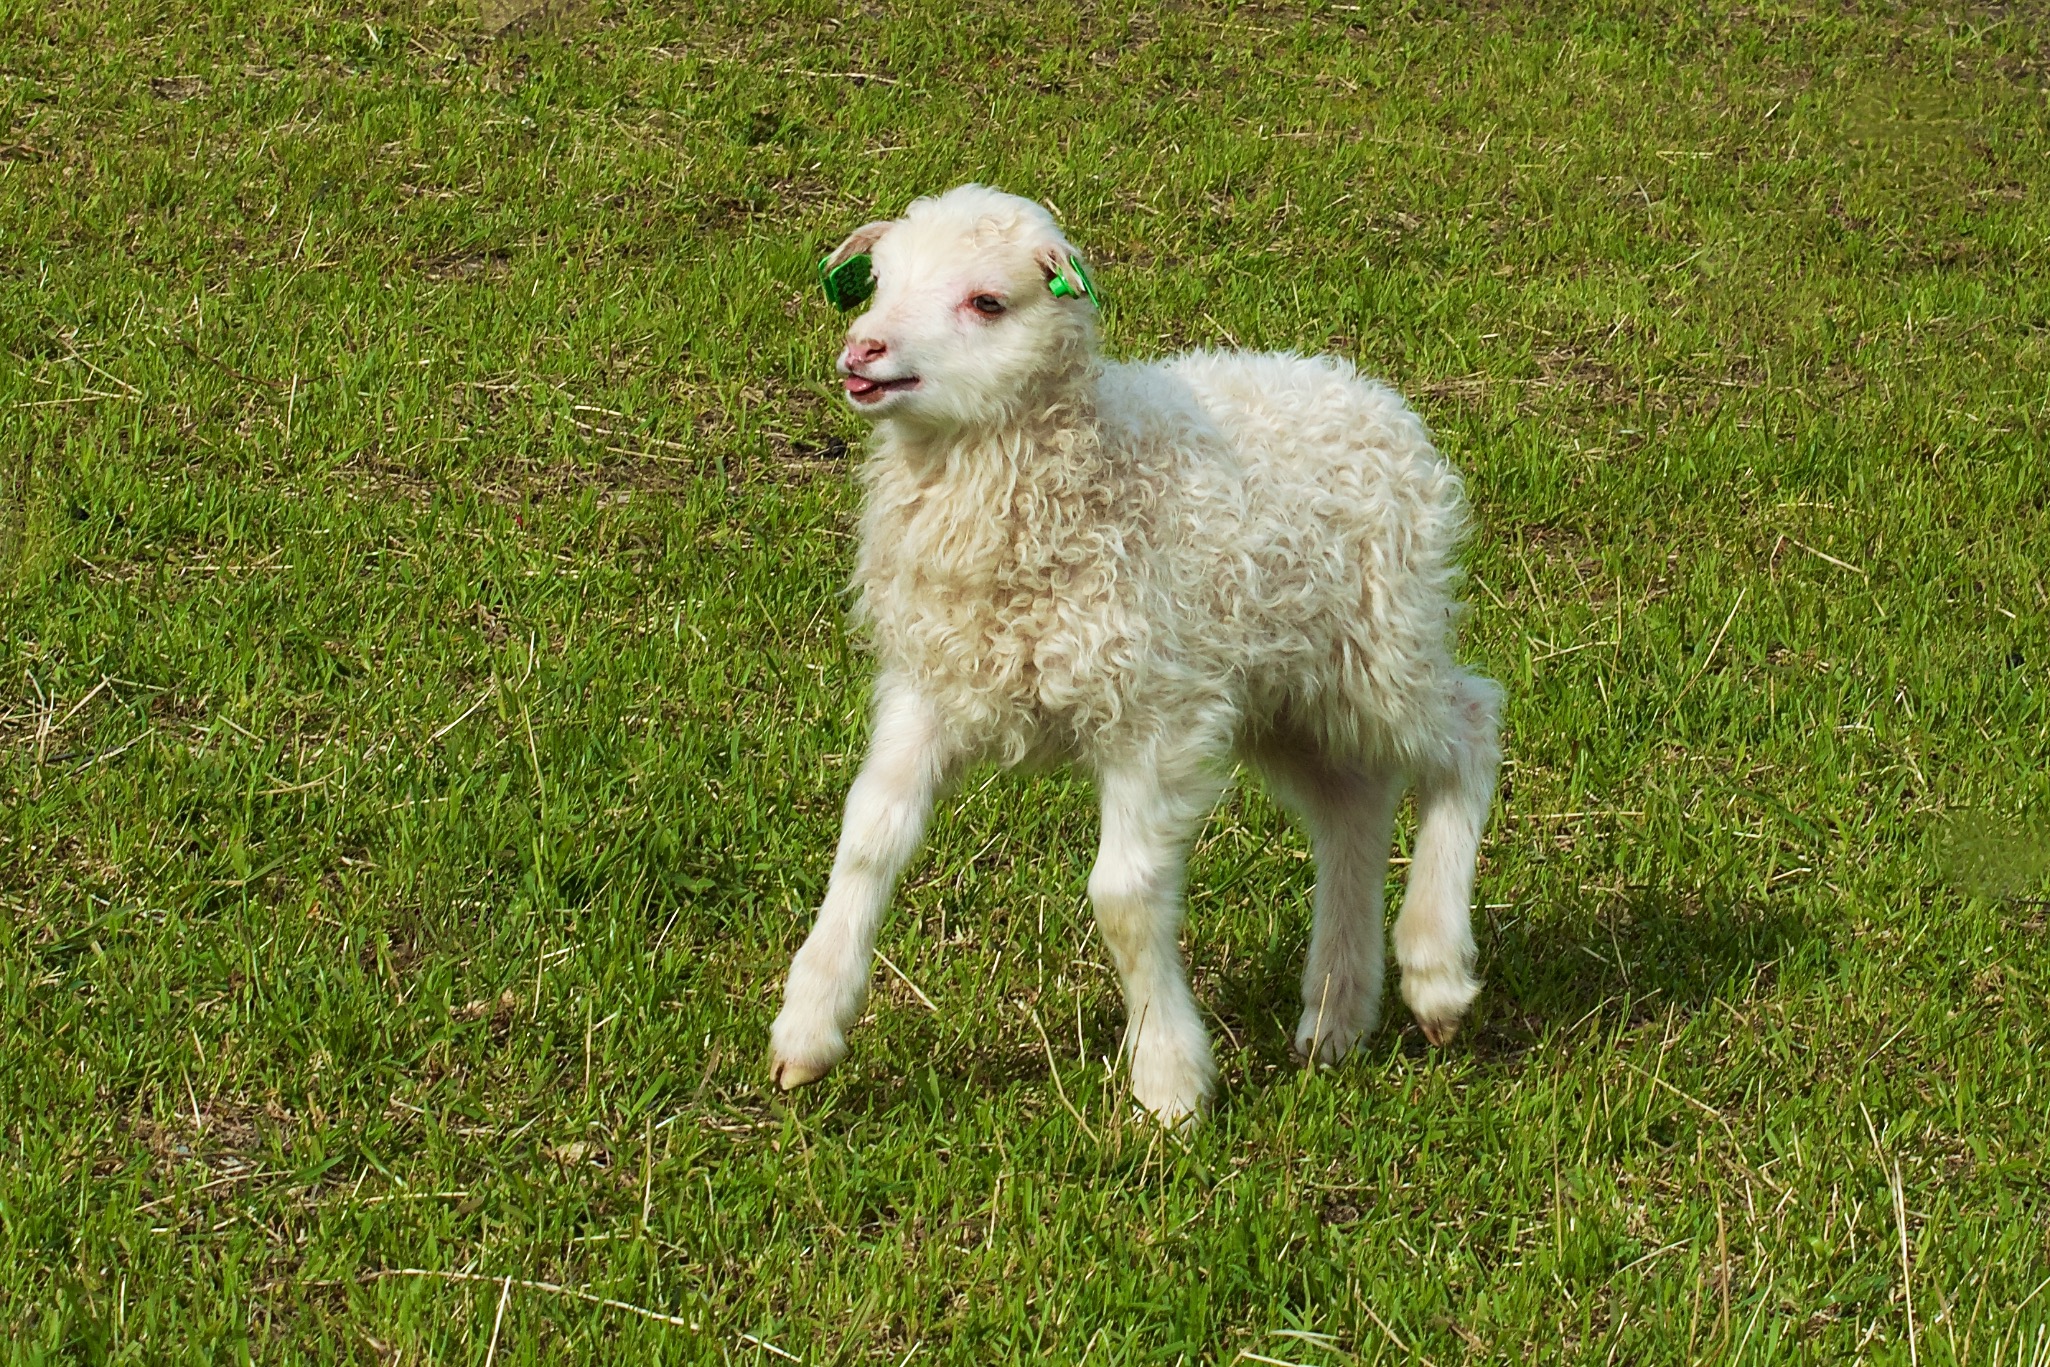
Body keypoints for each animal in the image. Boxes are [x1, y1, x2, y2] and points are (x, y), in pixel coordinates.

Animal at [770, 181, 1508, 1131]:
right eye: (880, 281)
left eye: (987, 302)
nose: (865, 349)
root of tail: (1362, 390)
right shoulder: (933, 681)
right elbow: (869, 836)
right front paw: (809, 1026)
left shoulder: (1154, 711)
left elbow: (1122, 896)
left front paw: (1168, 1081)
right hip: (1284, 690)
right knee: (1354, 804)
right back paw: (1335, 1014)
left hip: (1379, 642)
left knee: (1468, 726)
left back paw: (1436, 970)